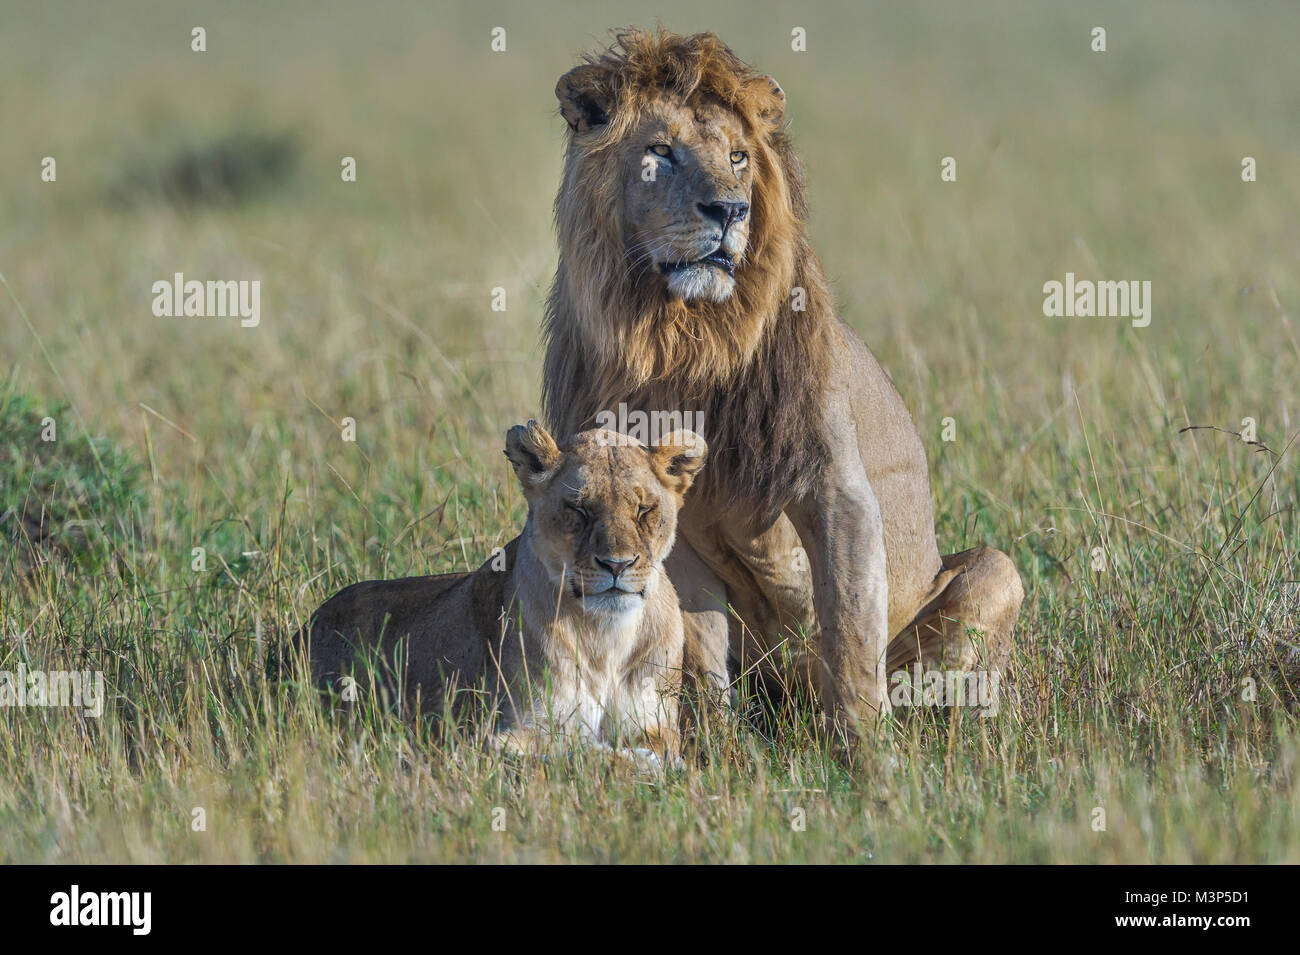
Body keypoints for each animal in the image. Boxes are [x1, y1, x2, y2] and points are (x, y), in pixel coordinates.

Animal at [304, 422, 708, 765]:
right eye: (578, 509)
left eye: (644, 510)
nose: (617, 565)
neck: (606, 637)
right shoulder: (501, 734)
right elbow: (578, 751)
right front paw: (641, 763)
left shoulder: (656, 724)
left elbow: (657, 749)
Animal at [542, 29, 1024, 730]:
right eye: (661, 151)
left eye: (739, 156)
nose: (729, 209)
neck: (682, 340)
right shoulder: (669, 516)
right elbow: (699, 646)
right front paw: (714, 741)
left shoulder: (834, 486)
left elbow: (851, 630)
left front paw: (867, 749)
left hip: (994, 571)